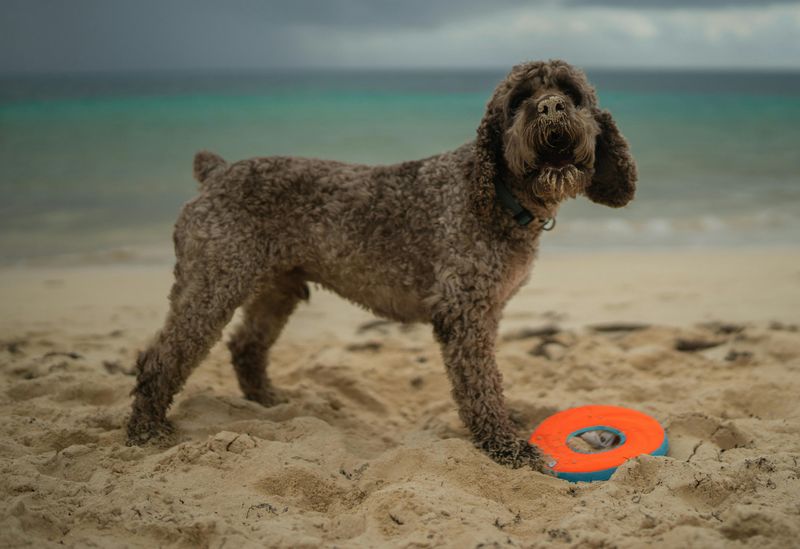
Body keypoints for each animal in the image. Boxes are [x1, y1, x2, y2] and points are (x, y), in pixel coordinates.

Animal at [126, 61, 636, 470]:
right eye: (517, 102)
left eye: (571, 93)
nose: (550, 107)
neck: (496, 193)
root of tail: (217, 172)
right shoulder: (464, 312)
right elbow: (480, 386)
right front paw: (504, 446)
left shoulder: (487, 311)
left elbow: (490, 381)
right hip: (213, 284)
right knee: (159, 358)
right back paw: (145, 430)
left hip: (276, 288)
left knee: (246, 345)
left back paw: (269, 403)